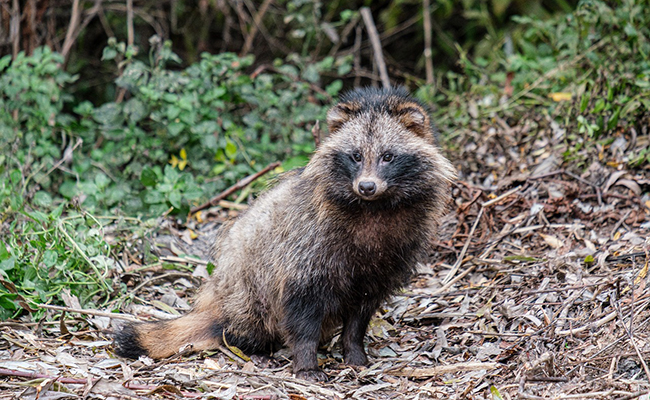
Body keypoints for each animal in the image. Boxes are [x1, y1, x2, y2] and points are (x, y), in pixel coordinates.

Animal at [112, 86, 456, 380]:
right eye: (356, 155)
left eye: (388, 156)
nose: (367, 186)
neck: (375, 208)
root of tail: (217, 306)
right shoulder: (305, 250)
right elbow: (302, 312)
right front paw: (306, 362)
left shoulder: (388, 257)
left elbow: (361, 313)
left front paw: (354, 350)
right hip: (245, 288)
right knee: (250, 319)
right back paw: (251, 345)